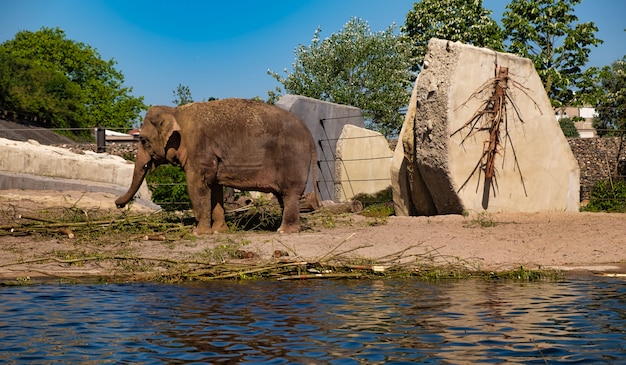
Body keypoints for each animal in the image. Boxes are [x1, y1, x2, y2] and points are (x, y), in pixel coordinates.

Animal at [116, 98, 320, 233]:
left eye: (143, 140)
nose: (118, 205)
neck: (176, 112)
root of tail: (310, 135)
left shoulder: (199, 151)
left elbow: (197, 186)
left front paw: (199, 233)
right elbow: (215, 188)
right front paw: (219, 231)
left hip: (293, 160)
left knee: (290, 194)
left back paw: (284, 231)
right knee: (282, 196)